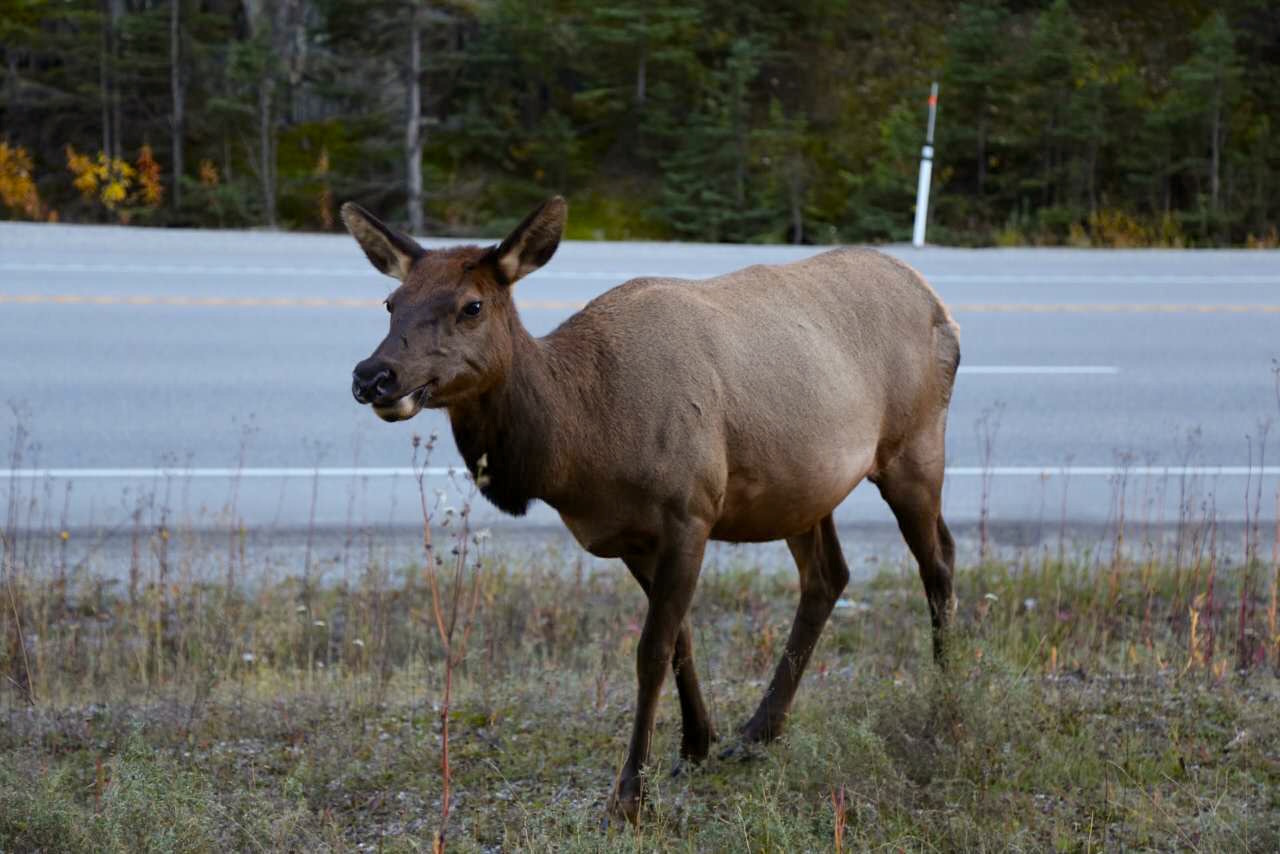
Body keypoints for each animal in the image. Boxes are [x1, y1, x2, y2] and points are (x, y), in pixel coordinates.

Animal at [340, 193, 962, 819]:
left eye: (471, 306)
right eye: (392, 302)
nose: (373, 375)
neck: (580, 441)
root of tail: (939, 304)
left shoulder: (690, 513)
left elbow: (651, 650)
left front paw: (629, 793)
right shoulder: (632, 537)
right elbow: (681, 639)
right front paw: (696, 744)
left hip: (913, 447)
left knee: (938, 561)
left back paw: (944, 709)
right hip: (802, 489)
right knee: (829, 576)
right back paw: (758, 733)